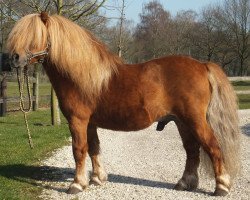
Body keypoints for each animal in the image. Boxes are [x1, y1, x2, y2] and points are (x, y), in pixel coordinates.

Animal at [6, 12, 240, 195]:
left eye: (35, 35)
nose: (13, 59)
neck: (82, 76)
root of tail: (202, 65)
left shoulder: (78, 120)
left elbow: (79, 150)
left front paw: (77, 184)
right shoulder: (90, 123)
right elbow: (94, 148)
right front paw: (97, 178)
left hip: (195, 120)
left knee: (213, 147)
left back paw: (221, 187)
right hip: (182, 122)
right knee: (192, 150)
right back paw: (184, 183)